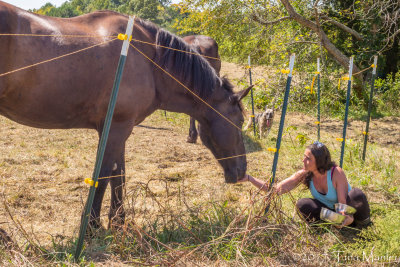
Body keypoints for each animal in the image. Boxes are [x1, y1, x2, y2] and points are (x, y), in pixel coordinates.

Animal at [0, 1, 250, 228]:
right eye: (239, 121)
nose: (242, 172)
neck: (148, 59)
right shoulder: (116, 128)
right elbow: (103, 176)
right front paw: (92, 227)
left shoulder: (118, 128)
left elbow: (117, 175)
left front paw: (118, 222)